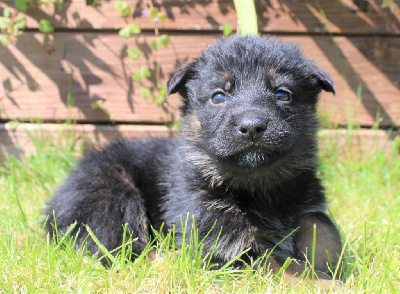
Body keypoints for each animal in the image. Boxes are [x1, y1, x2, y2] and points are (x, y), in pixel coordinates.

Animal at [46, 35, 340, 282]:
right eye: (218, 96)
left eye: (282, 94)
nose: (252, 126)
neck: (256, 187)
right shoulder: (220, 241)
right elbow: (277, 261)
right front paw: (320, 281)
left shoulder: (307, 202)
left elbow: (321, 224)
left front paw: (329, 263)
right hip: (114, 195)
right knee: (119, 251)